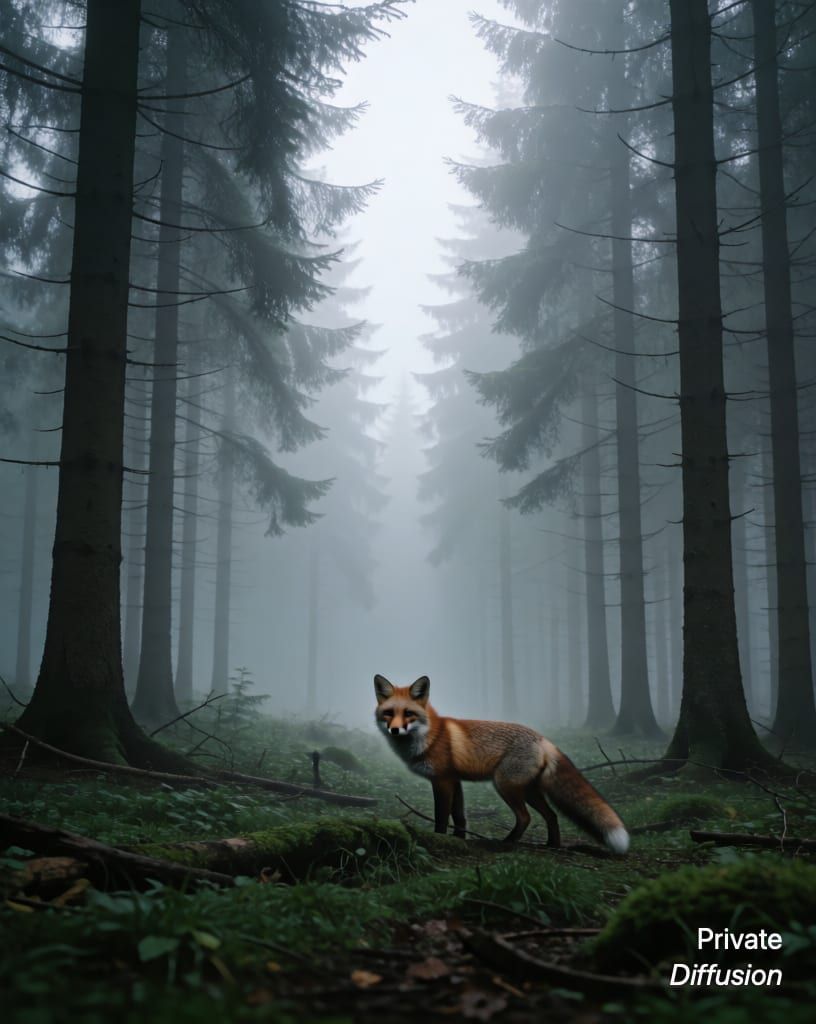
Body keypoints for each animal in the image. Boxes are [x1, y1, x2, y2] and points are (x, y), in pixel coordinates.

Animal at [374, 674, 629, 854]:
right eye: (388, 713)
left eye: (409, 713)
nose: (394, 730)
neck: (429, 736)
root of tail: (542, 738)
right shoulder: (455, 780)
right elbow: (459, 816)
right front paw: (459, 839)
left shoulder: (442, 780)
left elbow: (442, 816)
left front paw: (441, 838)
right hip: (529, 790)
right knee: (551, 816)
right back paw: (552, 845)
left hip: (505, 785)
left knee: (526, 817)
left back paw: (506, 843)